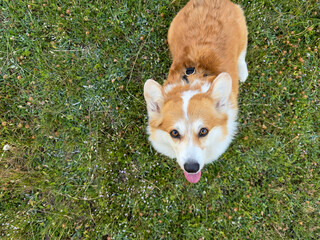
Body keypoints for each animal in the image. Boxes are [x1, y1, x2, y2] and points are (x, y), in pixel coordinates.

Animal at [144, 0, 249, 184]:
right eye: (174, 133)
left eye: (203, 131)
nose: (191, 168)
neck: (190, 83)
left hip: (242, 34)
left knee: (242, 53)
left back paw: (242, 71)